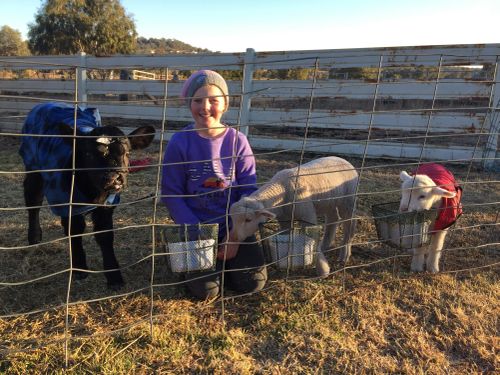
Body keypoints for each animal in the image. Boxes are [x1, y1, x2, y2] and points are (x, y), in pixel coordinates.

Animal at [229, 156, 358, 276]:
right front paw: (286, 259)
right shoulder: (284, 219)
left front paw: (323, 269)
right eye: (232, 219)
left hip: (348, 200)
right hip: (330, 202)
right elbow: (286, 237)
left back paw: (345, 254)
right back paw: (326, 244)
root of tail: (343, 159)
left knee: (350, 224)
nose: (233, 238)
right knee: (333, 218)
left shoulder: (307, 214)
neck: (281, 188)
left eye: (248, 219)